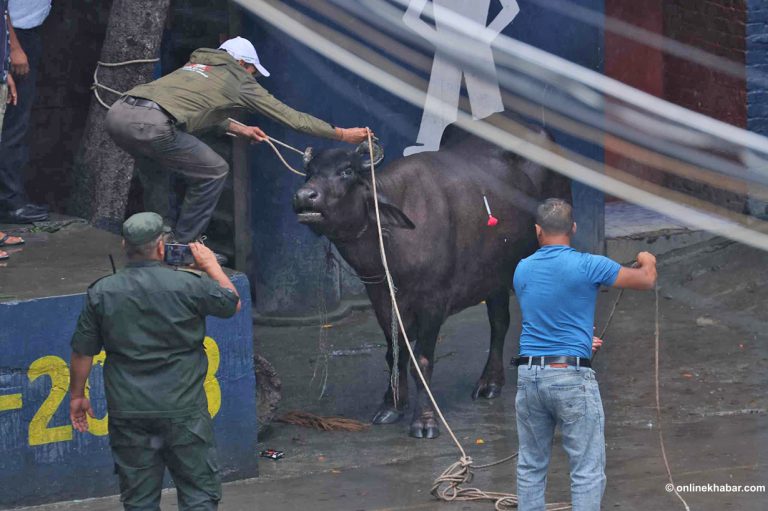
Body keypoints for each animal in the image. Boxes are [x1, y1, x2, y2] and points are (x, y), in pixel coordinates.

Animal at [294, 130, 568, 438]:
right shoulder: (381, 298)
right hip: (495, 274)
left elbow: (422, 362)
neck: (392, 244)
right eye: (309, 172)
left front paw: (424, 421)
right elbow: (395, 353)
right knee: (499, 323)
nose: (304, 196)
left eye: (347, 171)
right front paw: (391, 405)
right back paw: (490, 382)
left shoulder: (433, 303)